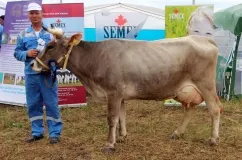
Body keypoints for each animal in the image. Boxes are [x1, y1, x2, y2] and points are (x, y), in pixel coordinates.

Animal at [31, 29, 222, 153]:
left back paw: (213, 139)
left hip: (206, 85)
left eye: (50, 46)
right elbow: (121, 116)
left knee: (214, 109)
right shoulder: (120, 95)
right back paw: (177, 133)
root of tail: (204, 39)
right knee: (190, 109)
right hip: (187, 90)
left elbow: (111, 119)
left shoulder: (113, 93)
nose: (32, 64)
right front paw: (122, 137)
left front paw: (109, 144)